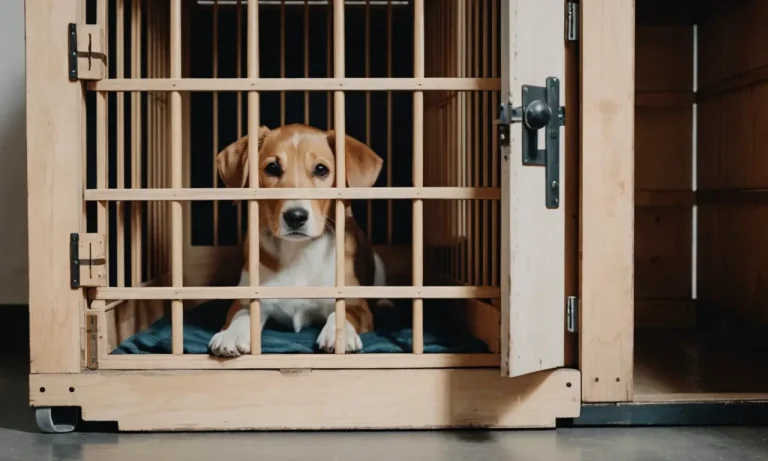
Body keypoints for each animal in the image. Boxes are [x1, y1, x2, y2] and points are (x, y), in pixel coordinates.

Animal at [206, 123, 390, 356]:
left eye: (321, 169)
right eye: (272, 168)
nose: (295, 216)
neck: (299, 252)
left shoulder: (357, 304)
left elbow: (344, 312)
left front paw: (338, 333)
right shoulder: (247, 298)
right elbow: (242, 314)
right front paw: (232, 334)